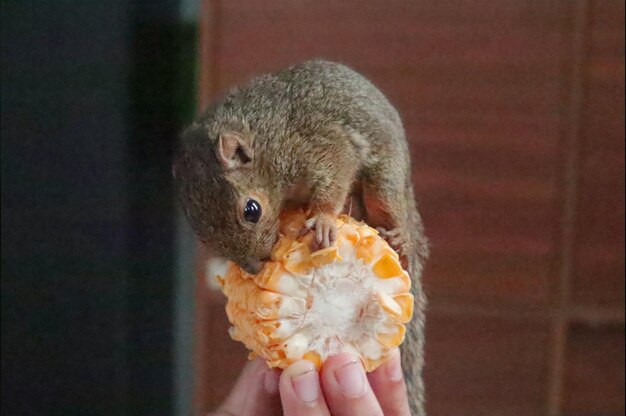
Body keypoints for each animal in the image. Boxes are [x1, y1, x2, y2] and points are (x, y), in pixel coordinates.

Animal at [173, 59, 426, 416]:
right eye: (202, 235)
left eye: (252, 210)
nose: (256, 267)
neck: (265, 141)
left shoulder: (316, 143)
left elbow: (336, 169)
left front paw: (323, 219)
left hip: (385, 177)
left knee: (388, 205)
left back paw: (402, 238)